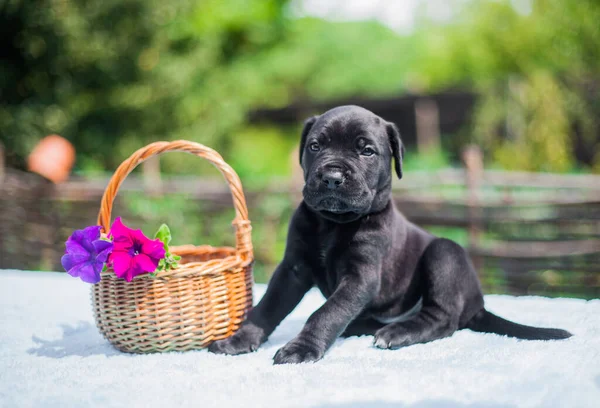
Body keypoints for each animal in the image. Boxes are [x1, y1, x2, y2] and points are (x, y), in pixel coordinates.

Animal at [207, 104, 572, 364]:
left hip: (444, 253)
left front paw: (301, 349)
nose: (332, 177)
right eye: (315, 146)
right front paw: (239, 340)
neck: (333, 224)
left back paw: (397, 332)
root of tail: (478, 304)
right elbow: (268, 306)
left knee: (443, 319)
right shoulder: (292, 269)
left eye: (366, 151)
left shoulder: (361, 277)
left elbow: (325, 312)